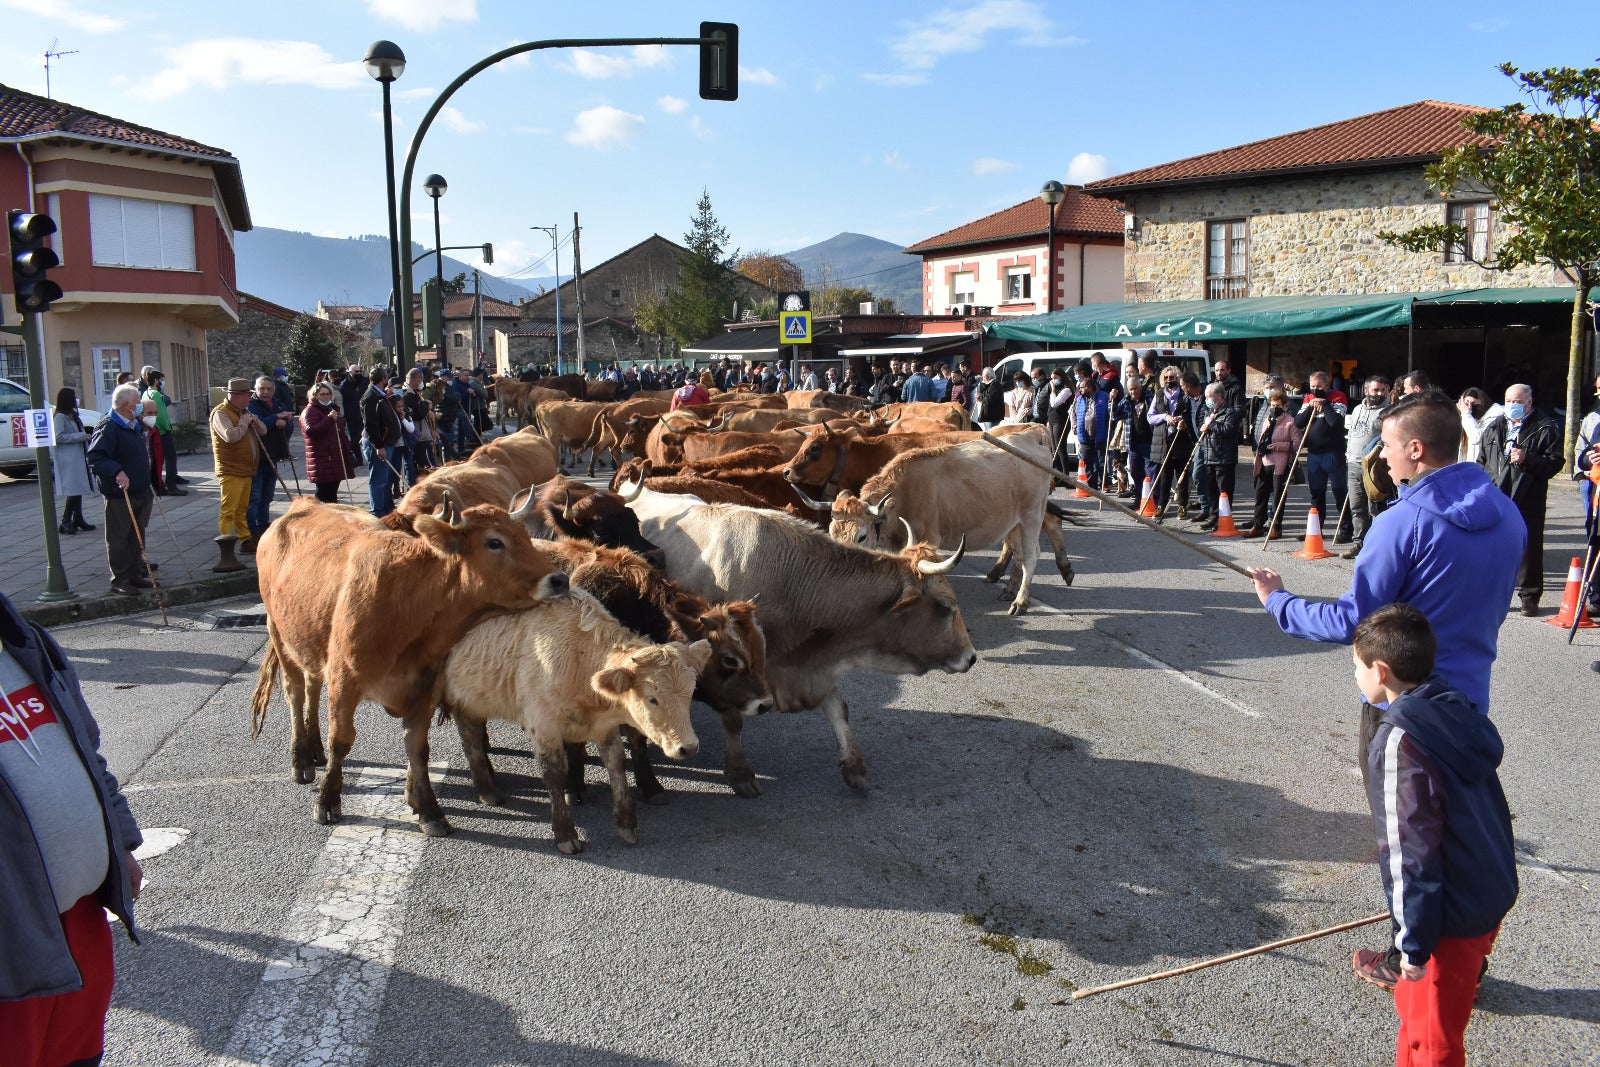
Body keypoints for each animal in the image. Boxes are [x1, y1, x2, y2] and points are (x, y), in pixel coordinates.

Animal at [251, 492, 569, 831]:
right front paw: (327, 800)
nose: (559, 579)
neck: (409, 603)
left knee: (311, 685)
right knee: (296, 693)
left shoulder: (425, 685)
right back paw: (300, 758)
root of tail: (305, 502)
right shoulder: (344, 680)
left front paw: (429, 810)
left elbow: (418, 749)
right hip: (279, 634)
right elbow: (341, 741)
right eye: (494, 542)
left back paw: (313, 749)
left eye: (525, 536)